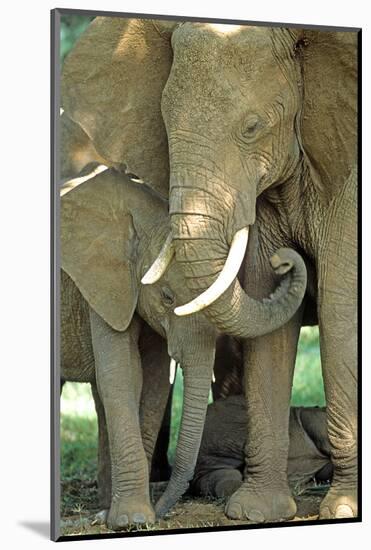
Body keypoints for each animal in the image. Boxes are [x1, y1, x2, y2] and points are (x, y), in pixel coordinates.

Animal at [60, 170, 218, 532]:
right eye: (168, 297)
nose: (163, 511)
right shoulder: (102, 283)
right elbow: (122, 374)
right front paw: (131, 520)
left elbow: (154, 381)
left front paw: (127, 516)